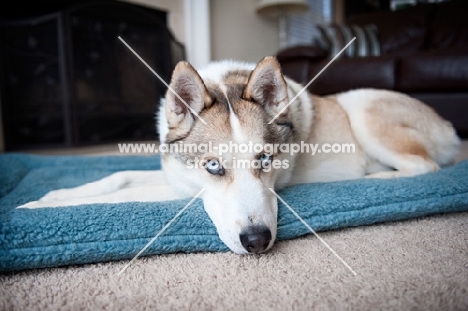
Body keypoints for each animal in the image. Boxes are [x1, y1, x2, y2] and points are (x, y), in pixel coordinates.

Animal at [21, 57, 458, 255]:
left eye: (265, 159)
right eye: (213, 166)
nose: (257, 241)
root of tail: (450, 128)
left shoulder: (182, 194)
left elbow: (126, 194)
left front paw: (38, 207)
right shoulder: (175, 176)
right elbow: (119, 177)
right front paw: (49, 198)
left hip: (363, 108)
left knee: (425, 166)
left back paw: (369, 179)